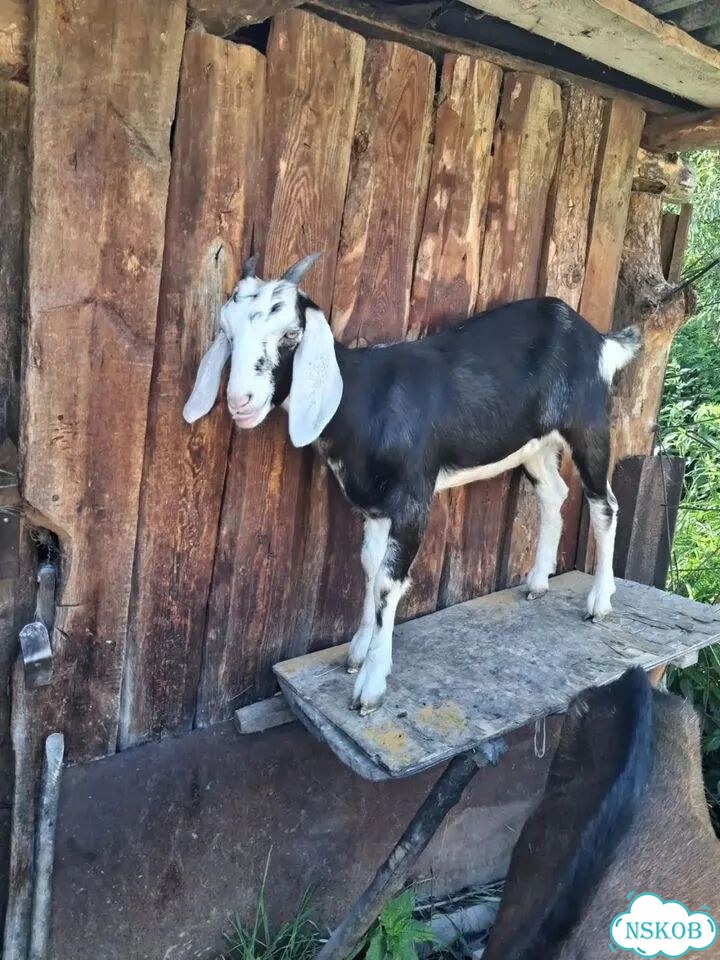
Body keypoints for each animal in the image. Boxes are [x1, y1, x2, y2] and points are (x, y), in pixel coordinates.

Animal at [184, 253, 641, 714]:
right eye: (228, 332)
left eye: (290, 334)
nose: (241, 402)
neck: (364, 399)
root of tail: (597, 339)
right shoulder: (374, 505)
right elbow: (369, 568)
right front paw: (358, 650)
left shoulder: (412, 500)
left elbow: (388, 582)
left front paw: (370, 685)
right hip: (533, 444)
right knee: (554, 494)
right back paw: (537, 582)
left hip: (588, 425)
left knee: (604, 505)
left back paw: (599, 602)